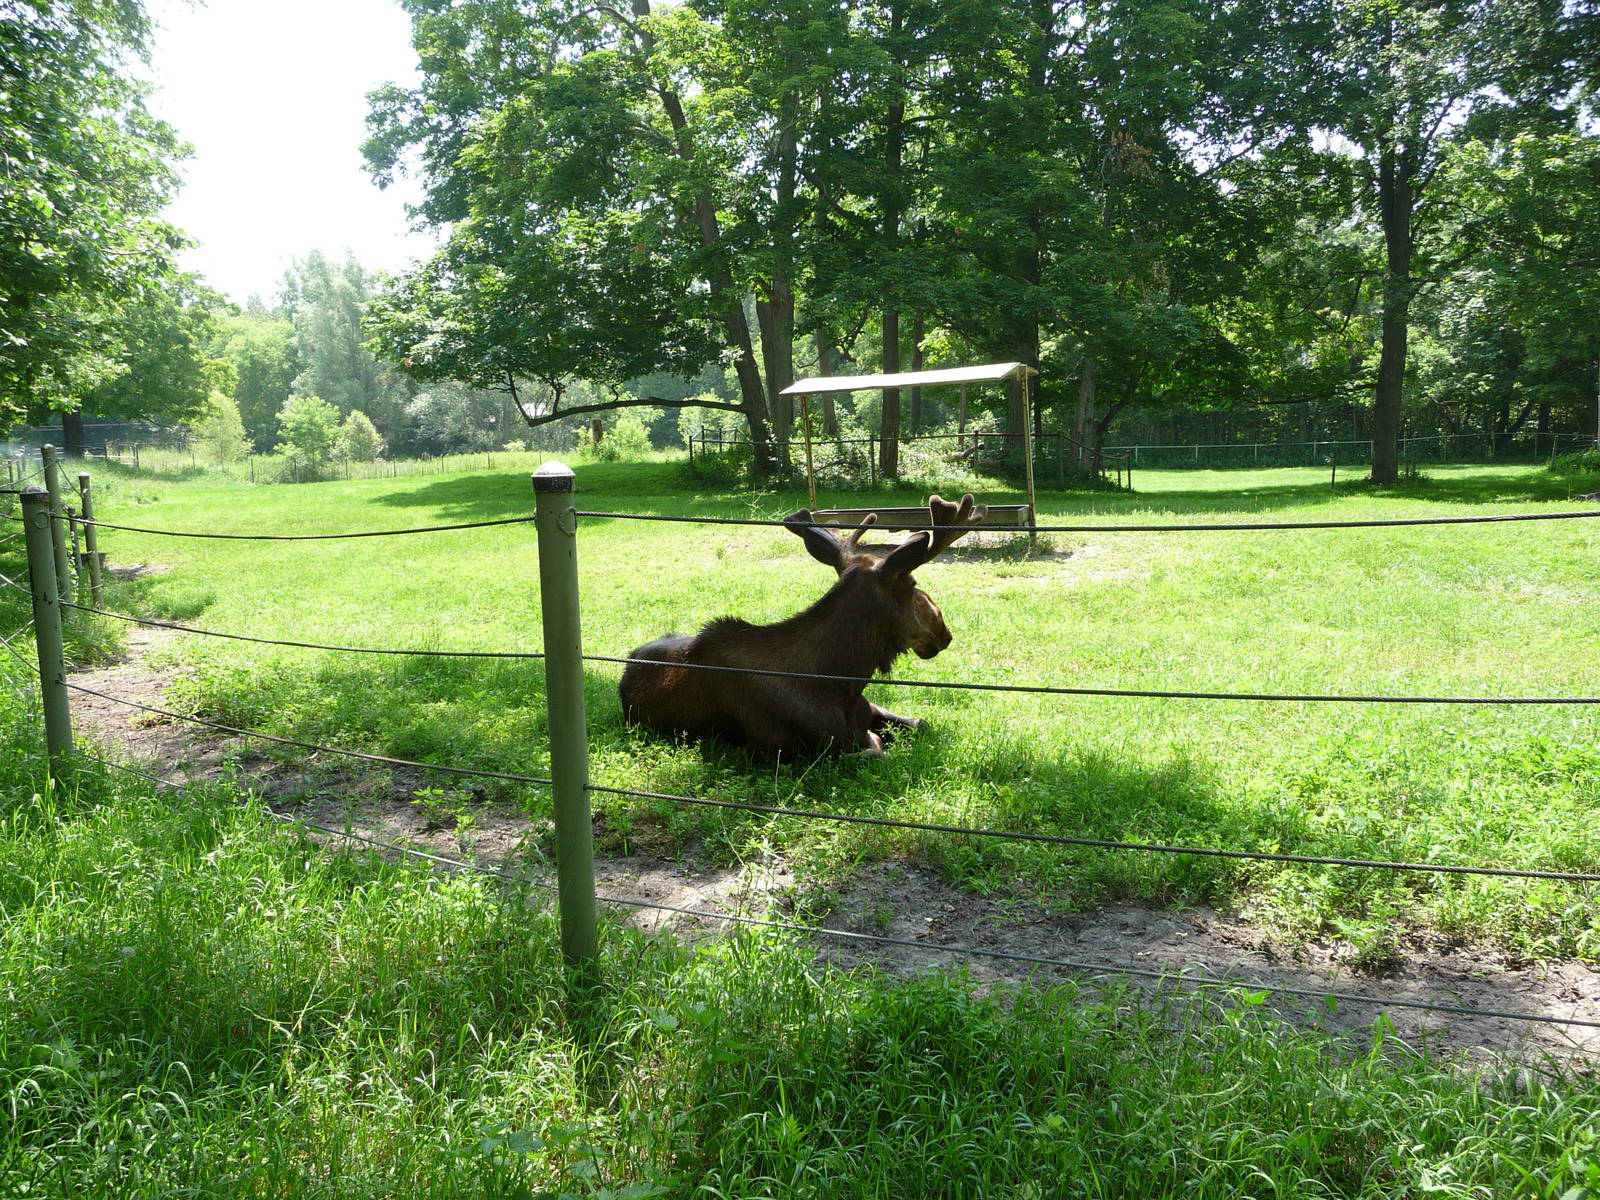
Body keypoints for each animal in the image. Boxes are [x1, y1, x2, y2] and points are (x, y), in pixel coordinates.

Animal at [618, 494, 984, 759]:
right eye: (912, 582)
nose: (943, 629)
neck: (841, 683)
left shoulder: (869, 709)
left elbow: (919, 722)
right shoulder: (786, 752)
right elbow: (876, 751)